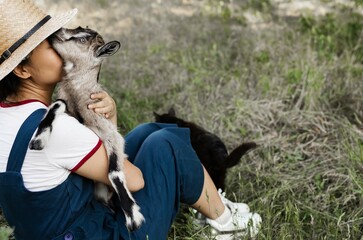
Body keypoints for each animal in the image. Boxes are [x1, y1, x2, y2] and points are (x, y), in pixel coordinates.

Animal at [29, 26, 145, 231]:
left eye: (82, 40)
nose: (55, 33)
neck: (78, 96)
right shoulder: (68, 108)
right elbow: (57, 104)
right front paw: (39, 139)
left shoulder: (111, 135)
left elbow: (114, 172)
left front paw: (133, 217)